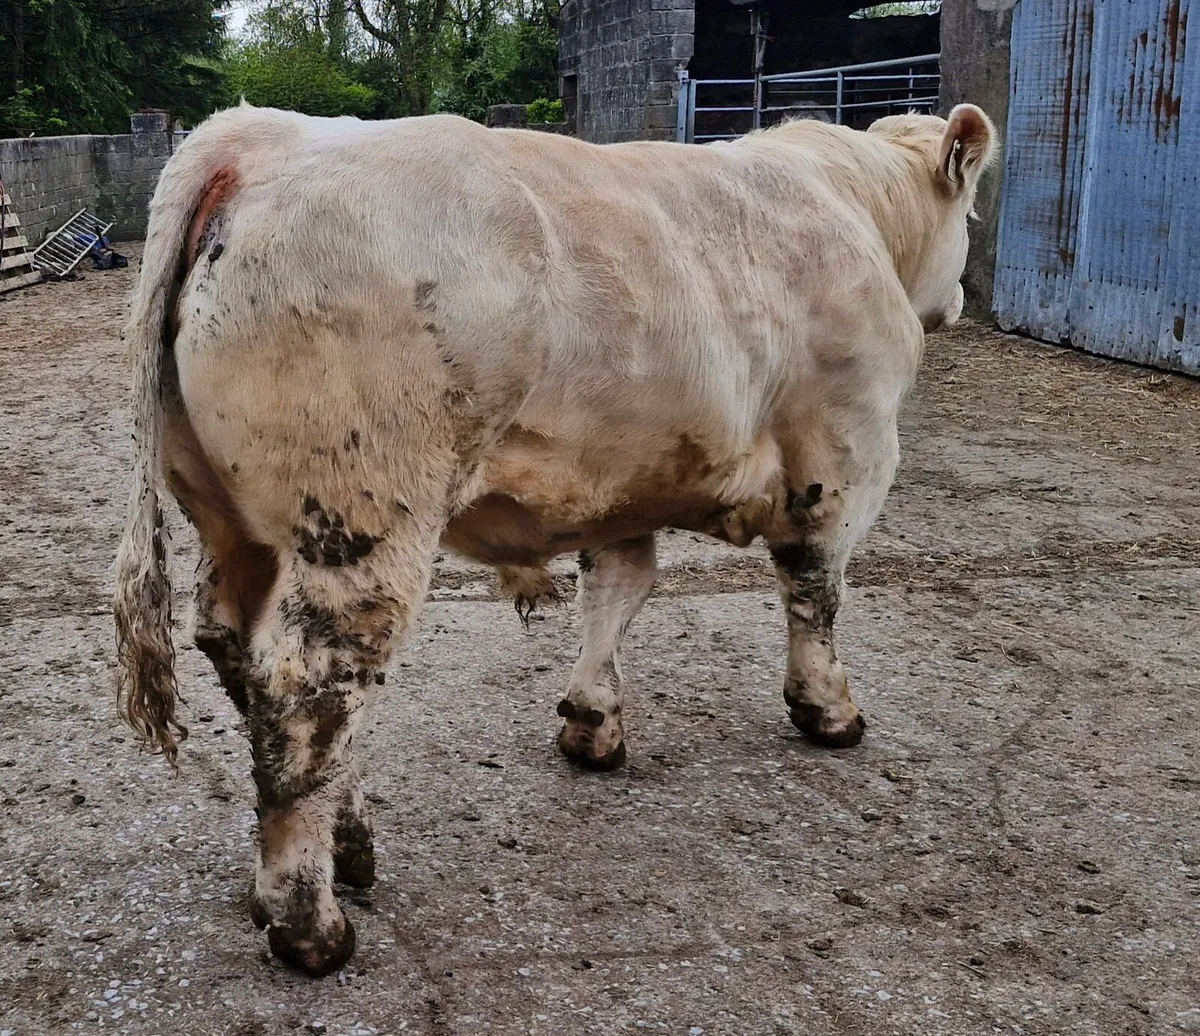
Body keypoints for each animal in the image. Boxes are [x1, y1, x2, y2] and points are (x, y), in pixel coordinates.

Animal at [114, 102, 996, 975]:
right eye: (970, 212)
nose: (959, 296)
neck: (858, 207)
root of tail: (255, 135)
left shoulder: (622, 482)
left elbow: (617, 591)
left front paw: (593, 721)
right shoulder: (845, 456)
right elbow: (815, 587)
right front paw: (828, 710)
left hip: (237, 526)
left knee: (241, 653)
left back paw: (346, 846)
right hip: (360, 523)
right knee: (308, 688)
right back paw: (309, 922)